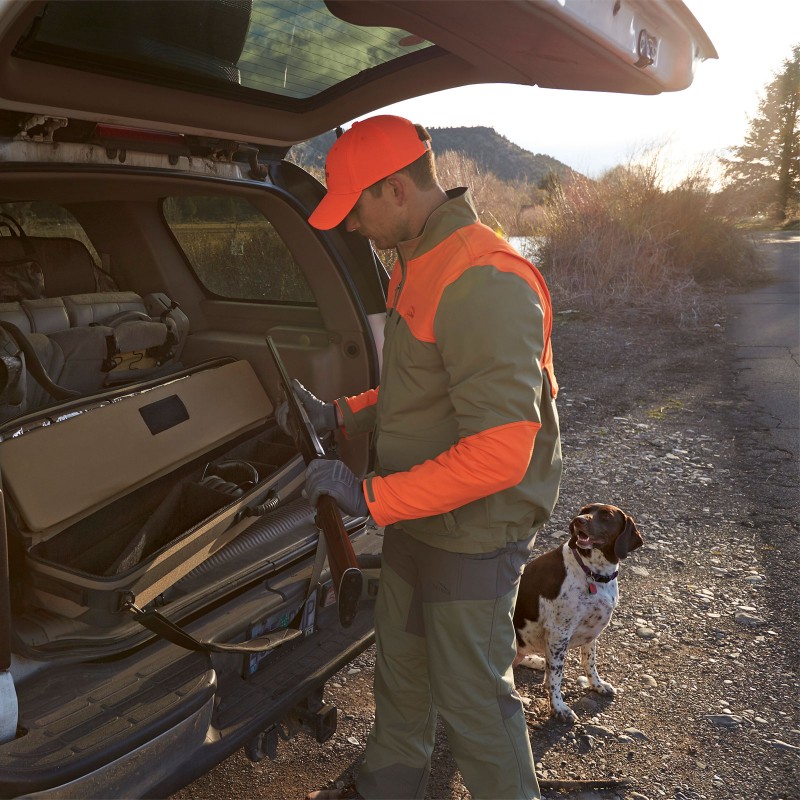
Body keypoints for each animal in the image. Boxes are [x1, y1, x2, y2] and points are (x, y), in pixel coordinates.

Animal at [512, 506, 644, 724]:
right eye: (584, 510)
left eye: (606, 515)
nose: (578, 520)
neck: (592, 572)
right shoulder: (559, 633)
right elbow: (556, 676)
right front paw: (559, 708)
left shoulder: (591, 631)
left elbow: (589, 662)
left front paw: (597, 685)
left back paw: (537, 661)